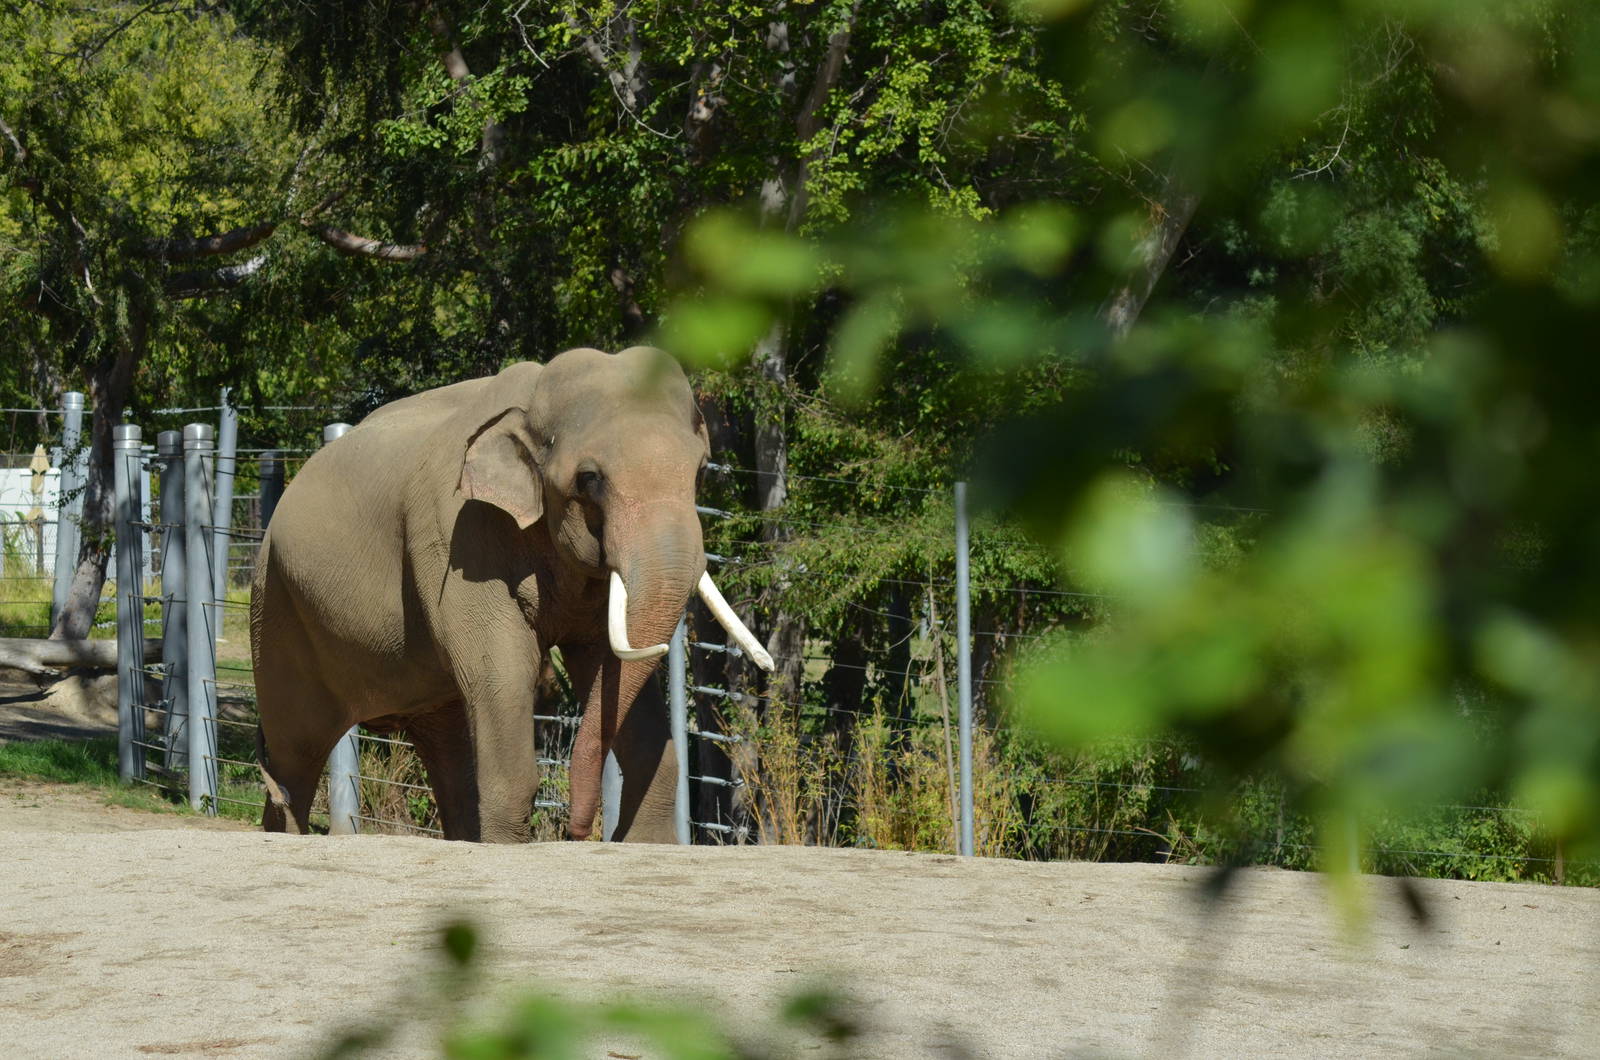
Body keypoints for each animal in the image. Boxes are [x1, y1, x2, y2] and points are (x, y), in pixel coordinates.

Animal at [249, 346, 773, 842]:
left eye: (701, 469)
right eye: (589, 479)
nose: (576, 830)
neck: (534, 396)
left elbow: (610, 667)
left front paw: (646, 844)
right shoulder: (456, 535)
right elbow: (501, 670)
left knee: (445, 746)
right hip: (276, 606)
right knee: (295, 751)